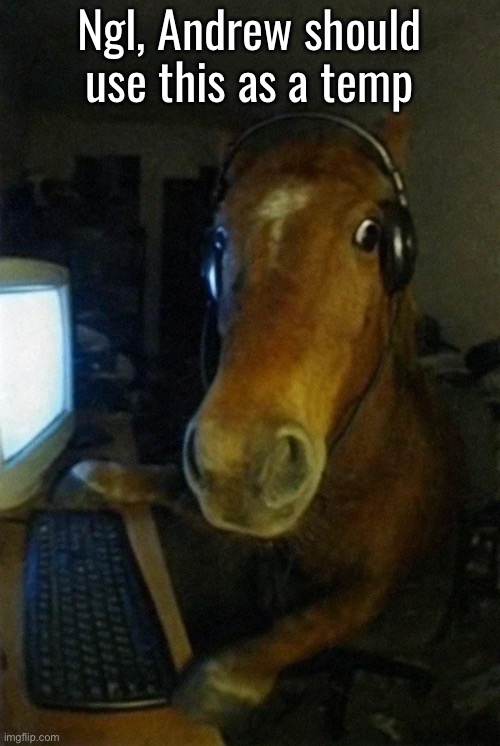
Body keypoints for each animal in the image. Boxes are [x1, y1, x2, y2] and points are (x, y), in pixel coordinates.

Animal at [77, 114, 458, 731]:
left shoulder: (375, 586)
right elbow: (163, 480)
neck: (349, 480)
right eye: (218, 238)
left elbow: (313, 621)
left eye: (371, 234)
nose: (237, 459)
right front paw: (93, 477)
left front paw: (227, 677)